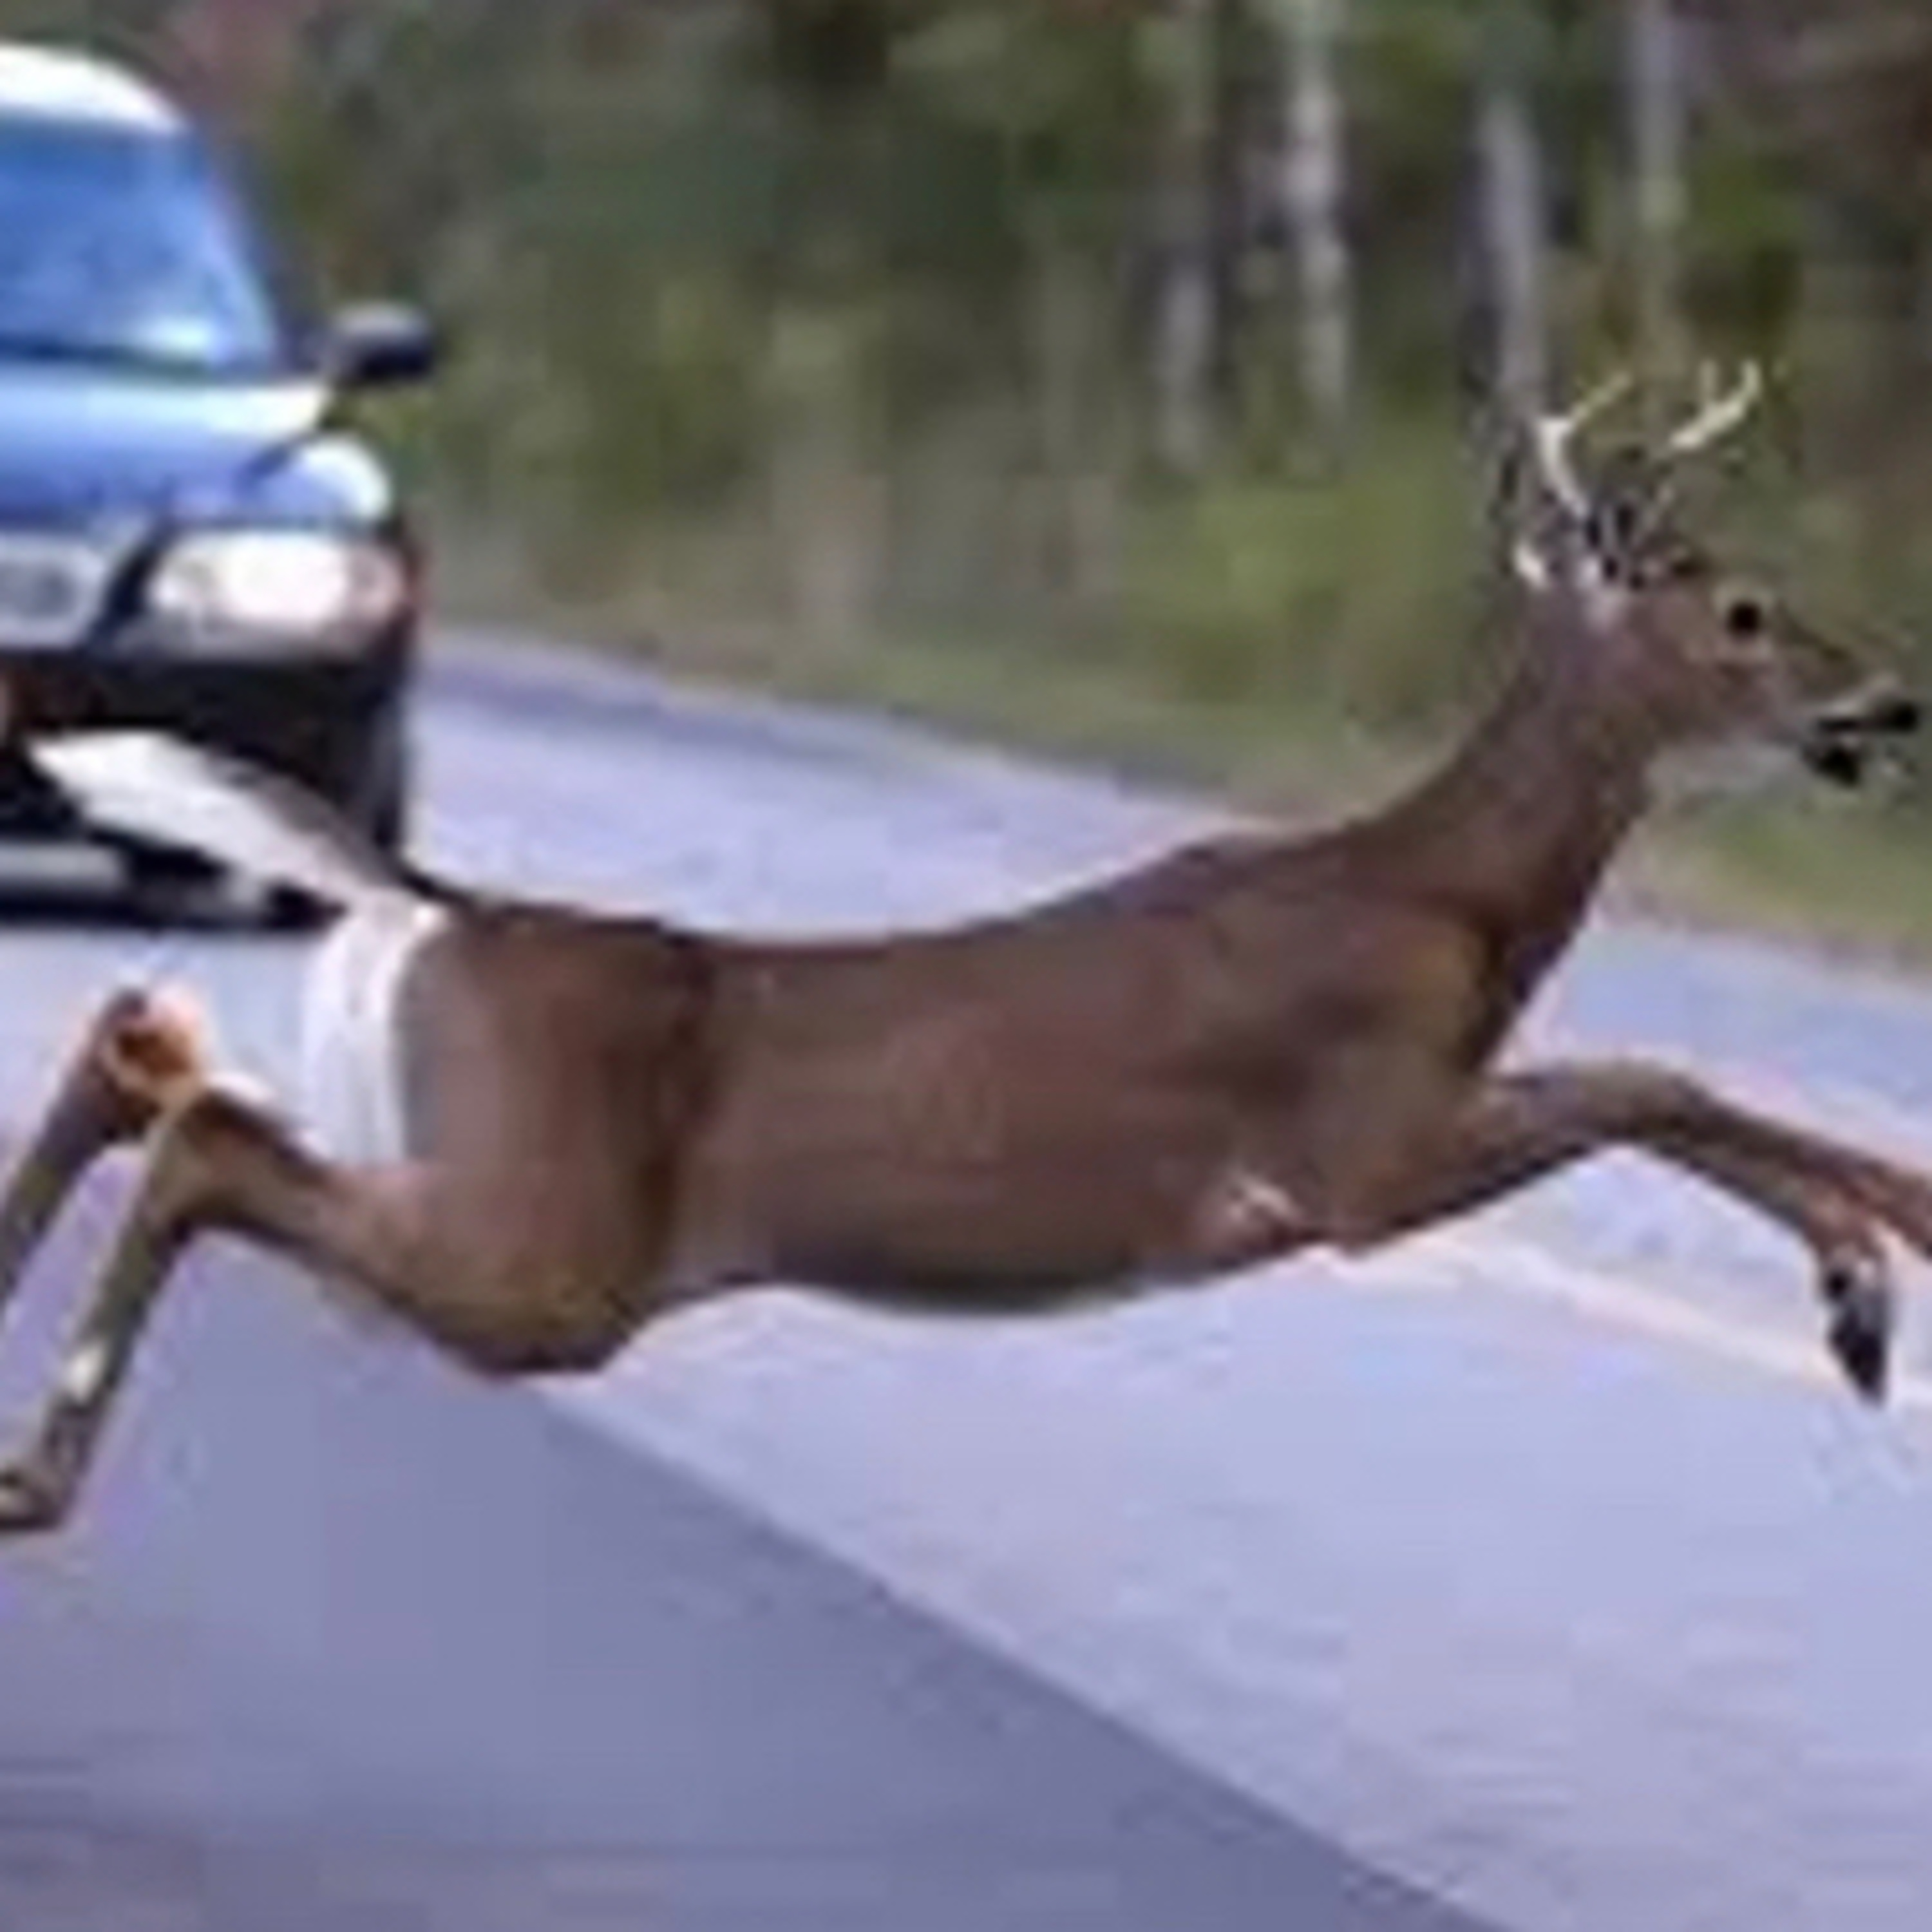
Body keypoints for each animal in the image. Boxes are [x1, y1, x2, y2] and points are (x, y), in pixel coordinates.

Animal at [0, 364, 1924, 1540]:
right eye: (1742, 611)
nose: (1884, 702)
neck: (1445, 900)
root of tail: (449, 907)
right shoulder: (1356, 1152)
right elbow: (1650, 1078)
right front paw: (1873, 1269)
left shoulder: (1407, 1118)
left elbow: (1660, 1085)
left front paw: (1866, 1270)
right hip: (545, 1259)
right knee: (207, 1132)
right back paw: (42, 1472)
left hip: (490, 1197)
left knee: (148, 1046)